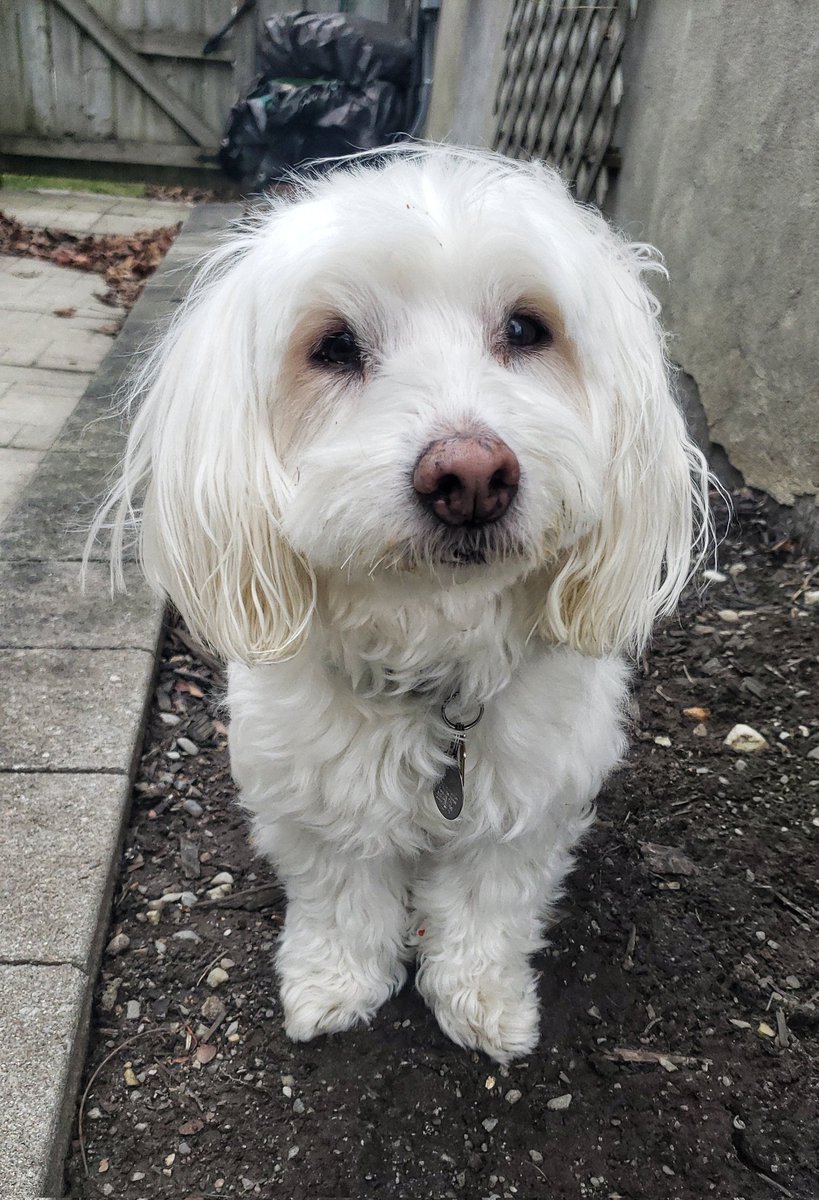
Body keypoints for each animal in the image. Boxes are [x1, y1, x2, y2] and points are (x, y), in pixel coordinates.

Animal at [97, 147, 706, 1060]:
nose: (472, 476)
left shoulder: (525, 805)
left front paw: (481, 1000)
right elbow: (341, 897)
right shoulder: (314, 799)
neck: (434, 657)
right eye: (334, 345)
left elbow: (489, 907)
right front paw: (334, 985)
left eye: (526, 329)